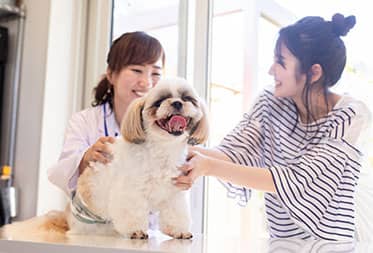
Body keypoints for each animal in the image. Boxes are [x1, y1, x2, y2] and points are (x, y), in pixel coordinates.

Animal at [66, 77, 206, 239]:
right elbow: (132, 210)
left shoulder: (174, 191)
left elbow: (175, 212)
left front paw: (179, 230)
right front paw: (136, 231)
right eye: (159, 101)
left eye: (187, 99)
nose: (177, 103)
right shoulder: (130, 189)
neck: (162, 149)